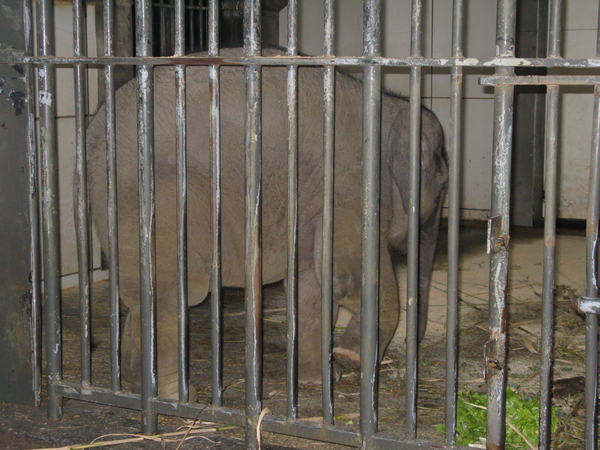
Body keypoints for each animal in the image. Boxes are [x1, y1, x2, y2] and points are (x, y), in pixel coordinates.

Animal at [86, 48, 448, 400]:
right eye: (444, 185)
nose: (413, 346)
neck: (392, 108)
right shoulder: (351, 188)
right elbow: (348, 278)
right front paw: (350, 360)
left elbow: (311, 284)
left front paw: (318, 379)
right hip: (161, 200)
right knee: (176, 291)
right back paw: (172, 395)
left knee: (142, 295)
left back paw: (139, 388)